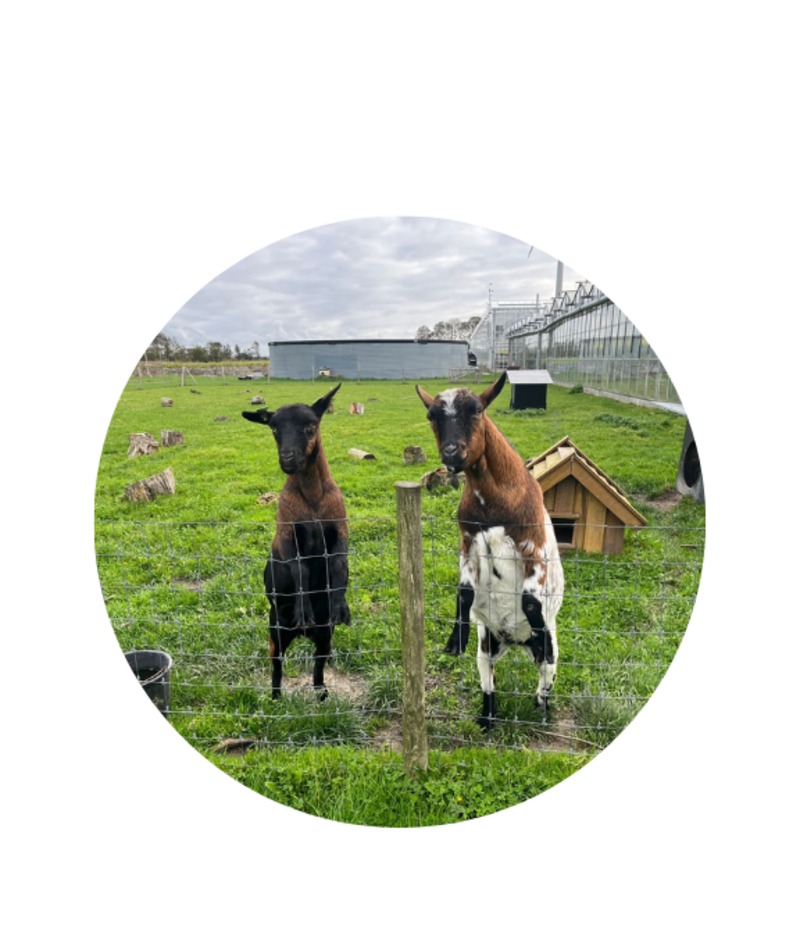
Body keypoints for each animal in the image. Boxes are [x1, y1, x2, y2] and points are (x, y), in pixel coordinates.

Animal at [242, 384, 350, 700]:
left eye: (310, 426)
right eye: (274, 428)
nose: (288, 459)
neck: (313, 501)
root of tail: (302, 634)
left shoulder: (339, 528)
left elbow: (338, 564)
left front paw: (340, 608)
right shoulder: (286, 534)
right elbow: (299, 567)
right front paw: (304, 611)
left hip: (325, 636)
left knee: (318, 664)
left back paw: (322, 695)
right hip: (275, 632)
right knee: (277, 666)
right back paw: (276, 698)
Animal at [416, 372, 563, 729]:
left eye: (477, 410)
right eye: (431, 415)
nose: (451, 452)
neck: (494, 503)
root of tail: (513, 642)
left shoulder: (532, 543)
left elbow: (530, 601)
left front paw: (543, 643)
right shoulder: (469, 540)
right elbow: (465, 592)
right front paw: (454, 641)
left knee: (546, 678)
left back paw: (542, 706)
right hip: (486, 646)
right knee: (488, 677)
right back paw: (487, 717)